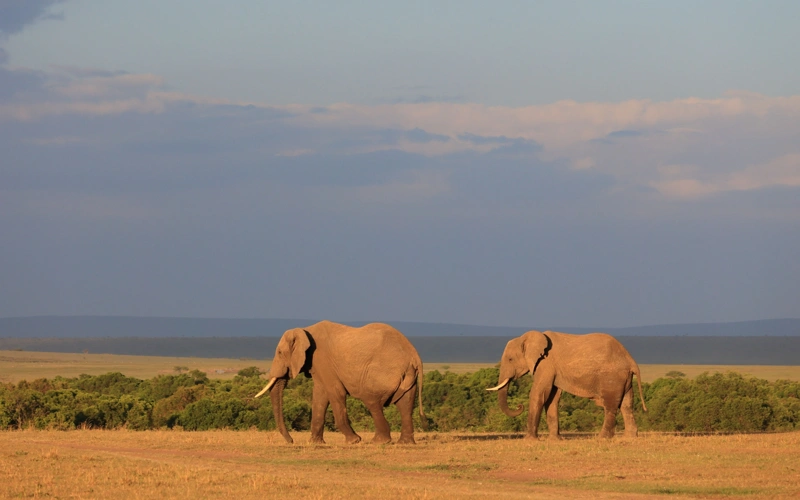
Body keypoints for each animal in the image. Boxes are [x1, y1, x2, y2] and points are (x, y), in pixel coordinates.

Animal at [254, 320, 427, 444]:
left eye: (280, 353)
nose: (291, 441)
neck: (304, 330)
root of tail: (414, 355)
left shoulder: (322, 359)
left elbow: (334, 392)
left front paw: (354, 441)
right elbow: (320, 395)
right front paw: (315, 443)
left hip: (383, 372)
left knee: (371, 401)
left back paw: (379, 442)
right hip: (407, 376)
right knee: (405, 405)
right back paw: (405, 443)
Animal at [487, 330, 646, 439]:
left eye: (510, 359)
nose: (519, 406)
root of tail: (631, 360)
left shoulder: (546, 364)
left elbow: (539, 394)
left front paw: (530, 440)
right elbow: (552, 398)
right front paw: (555, 440)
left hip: (612, 377)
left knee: (611, 406)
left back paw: (602, 438)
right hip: (624, 378)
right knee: (627, 405)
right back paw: (629, 438)